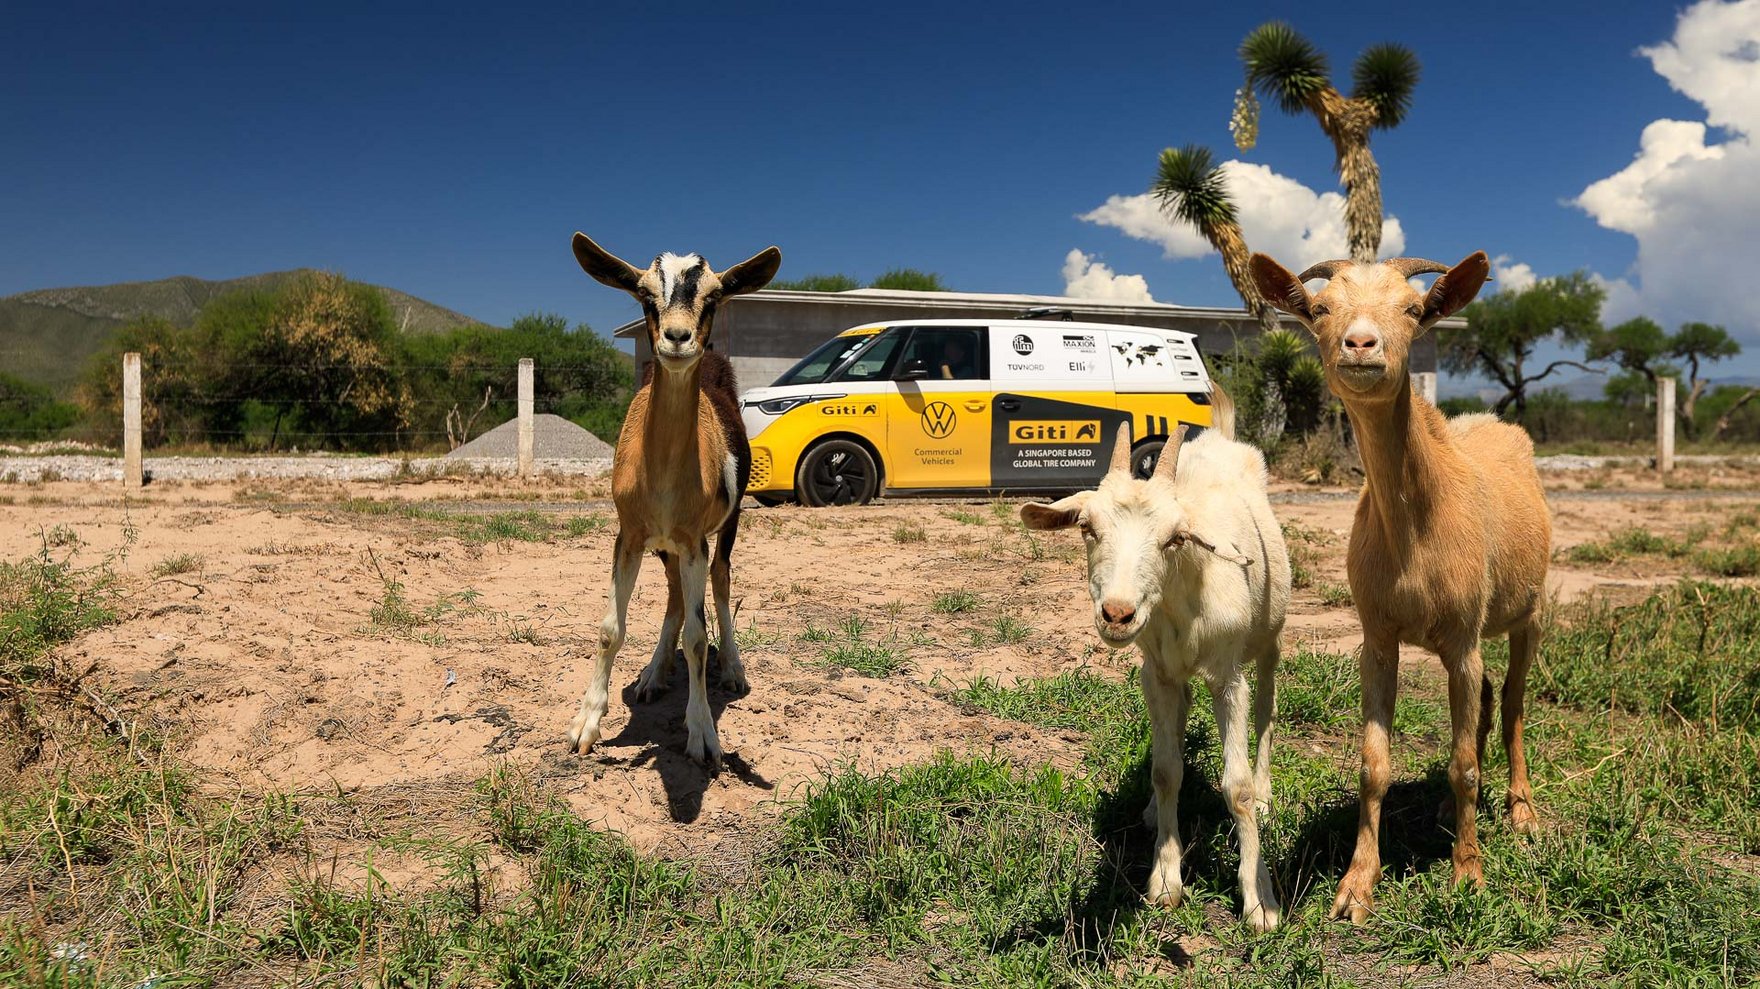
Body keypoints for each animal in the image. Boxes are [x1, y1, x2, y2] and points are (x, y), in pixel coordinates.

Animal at [566, 232, 782, 769]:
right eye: (645, 296)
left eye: (714, 297)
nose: (679, 338)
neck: (661, 478)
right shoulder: (629, 535)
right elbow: (610, 628)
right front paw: (586, 723)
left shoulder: (693, 540)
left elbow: (699, 638)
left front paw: (704, 733)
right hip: (664, 547)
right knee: (675, 597)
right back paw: (653, 673)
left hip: (725, 527)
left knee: (720, 582)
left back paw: (733, 670)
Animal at [1020, 406, 1290, 931]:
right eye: (1087, 528)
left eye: (1175, 538)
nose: (1117, 614)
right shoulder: (1156, 672)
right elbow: (1166, 771)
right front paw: (1166, 878)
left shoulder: (1229, 678)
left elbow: (1238, 788)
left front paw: (1260, 900)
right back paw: (1149, 811)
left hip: (1270, 638)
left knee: (1267, 707)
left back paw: (1270, 797)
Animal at [1251, 251, 1551, 923]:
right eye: (1319, 308)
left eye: (1414, 309)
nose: (1363, 344)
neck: (1420, 525)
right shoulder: (1379, 636)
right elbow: (1374, 764)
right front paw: (1356, 886)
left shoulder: (1464, 637)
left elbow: (1462, 762)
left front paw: (1468, 875)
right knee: (1487, 696)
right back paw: (1449, 809)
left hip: (1529, 611)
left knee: (1514, 700)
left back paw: (1521, 810)